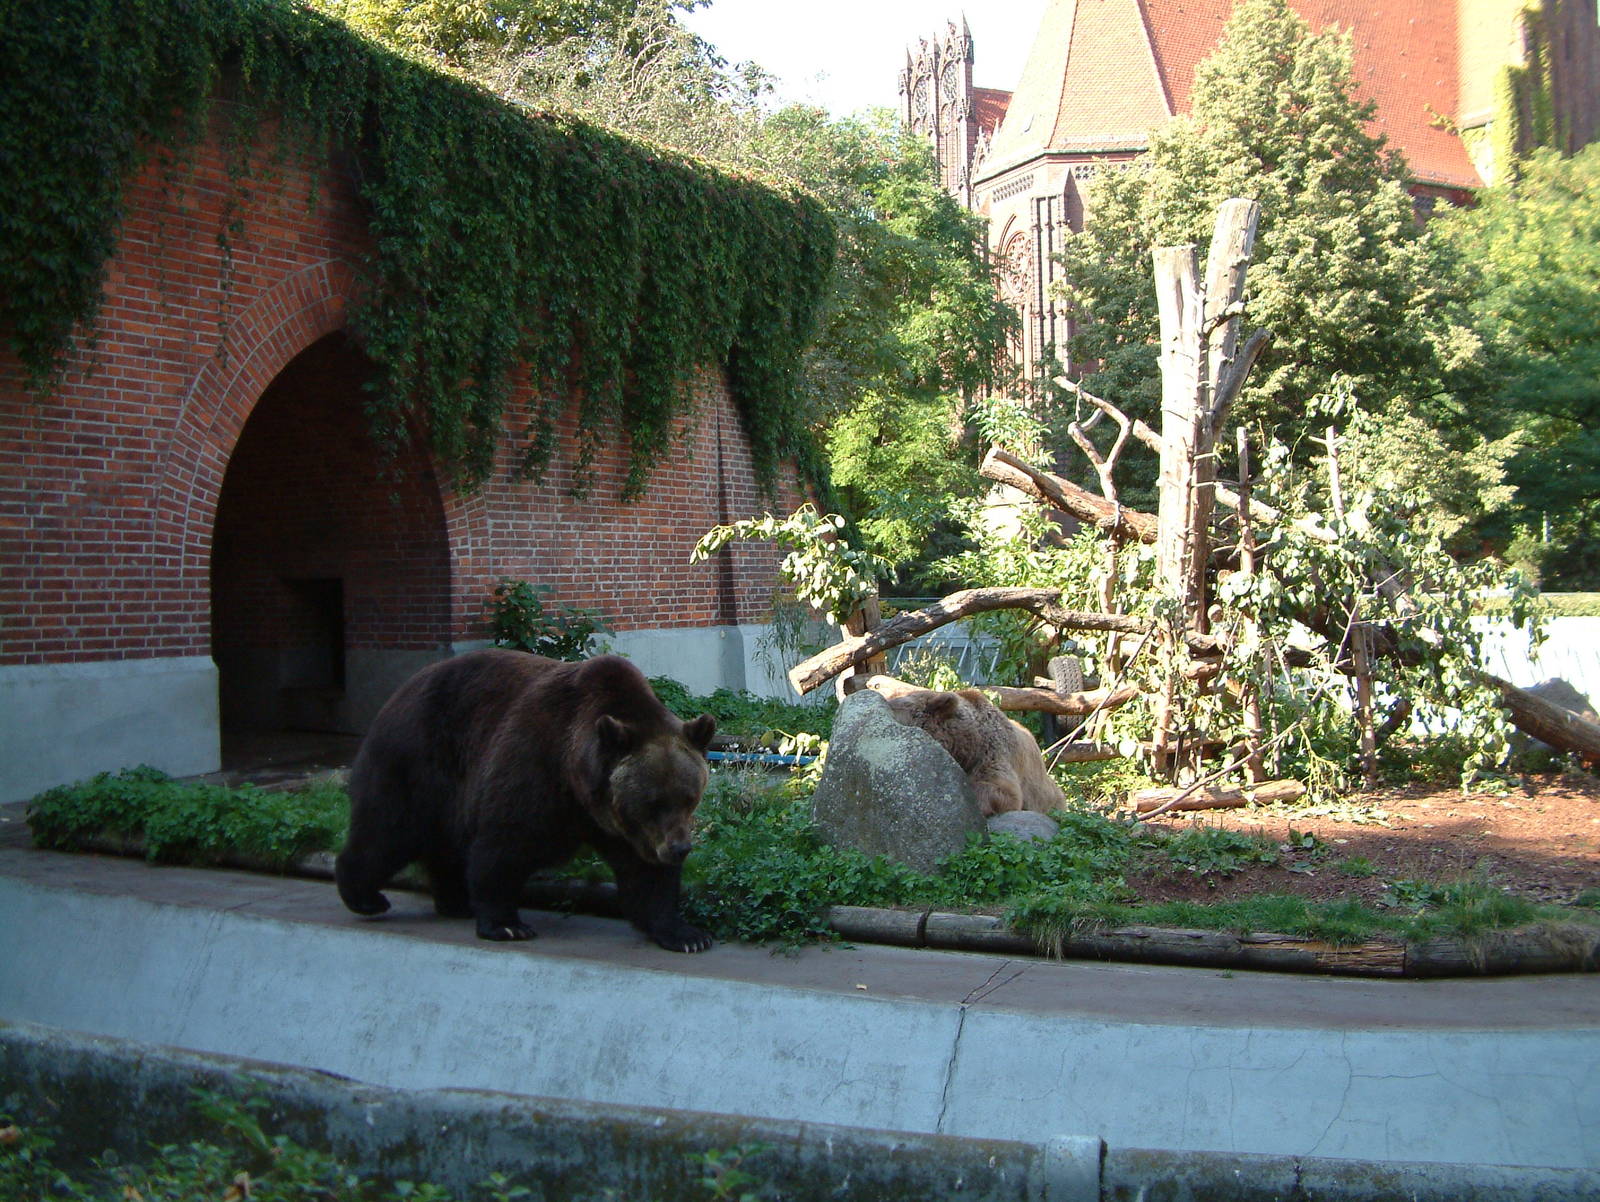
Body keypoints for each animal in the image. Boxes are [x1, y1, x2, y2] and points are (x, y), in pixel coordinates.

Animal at [334, 649, 717, 953]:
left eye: (690, 798)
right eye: (654, 801)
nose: (680, 849)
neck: (580, 784)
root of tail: (400, 691)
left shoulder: (623, 827)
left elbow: (648, 876)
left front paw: (686, 934)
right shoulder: (536, 767)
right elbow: (505, 846)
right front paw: (506, 924)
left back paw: (455, 901)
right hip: (418, 761)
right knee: (390, 829)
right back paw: (366, 896)